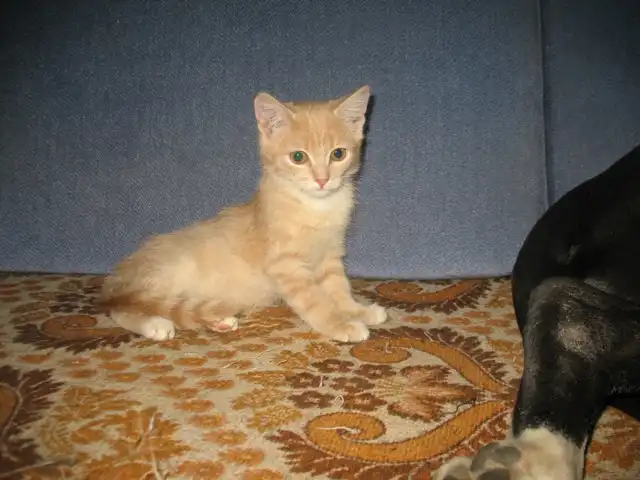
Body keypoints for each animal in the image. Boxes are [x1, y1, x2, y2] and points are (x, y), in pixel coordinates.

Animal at [99, 86, 387, 343]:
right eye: (298, 157)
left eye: (338, 154)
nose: (322, 180)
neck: (316, 208)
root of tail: (118, 275)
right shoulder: (286, 266)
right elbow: (316, 302)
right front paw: (341, 325)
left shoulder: (330, 257)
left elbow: (339, 289)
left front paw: (357, 311)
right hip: (166, 274)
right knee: (122, 307)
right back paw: (154, 325)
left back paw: (218, 321)